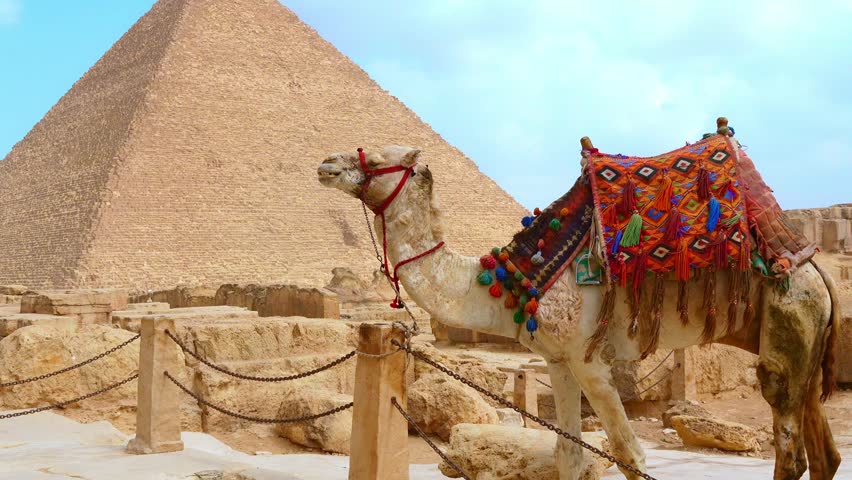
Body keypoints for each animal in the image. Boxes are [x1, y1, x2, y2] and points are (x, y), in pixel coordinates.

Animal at [317, 144, 841, 480]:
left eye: (378, 158)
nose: (326, 164)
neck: (511, 283)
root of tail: (816, 268)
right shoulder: (557, 359)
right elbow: (567, 456)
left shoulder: (589, 359)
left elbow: (630, 455)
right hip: (802, 342)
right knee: (824, 454)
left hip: (788, 322)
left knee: (789, 445)